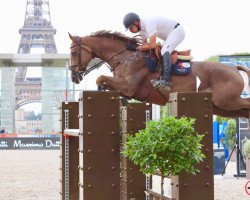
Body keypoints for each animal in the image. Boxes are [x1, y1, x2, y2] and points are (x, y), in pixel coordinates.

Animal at [68, 30, 250, 119]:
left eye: (74, 52)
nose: (74, 77)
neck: (124, 58)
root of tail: (234, 69)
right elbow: (105, 83)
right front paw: (118, 98)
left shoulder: (128, 86)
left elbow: (100, 78)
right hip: (222, 108)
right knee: (243, 112)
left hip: (226, 101)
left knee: (246, 103)